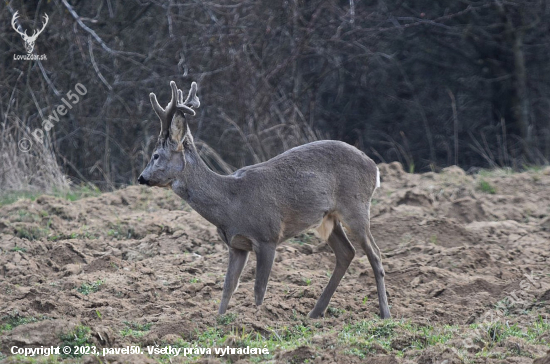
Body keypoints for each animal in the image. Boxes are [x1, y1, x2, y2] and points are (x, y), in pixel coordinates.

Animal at [141, 80, 392, 318]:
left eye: (156, 155)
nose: (142, 177)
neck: (230, 203)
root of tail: (374, 167)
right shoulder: (236, 245)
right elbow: (227, 288)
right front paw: (218, 320)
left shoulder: (267, 236)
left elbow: (258, 290)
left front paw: (259, 318)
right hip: (328, 218)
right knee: (346, 253)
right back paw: (315, 313)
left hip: (356, 206)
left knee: (375, 254)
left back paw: (385, 314)